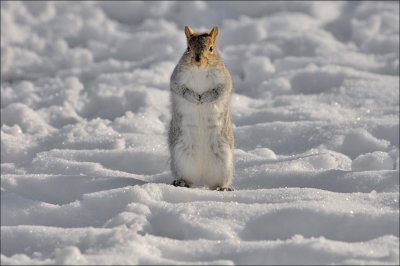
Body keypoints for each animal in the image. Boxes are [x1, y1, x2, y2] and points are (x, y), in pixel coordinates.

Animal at [168, 25, 234, 191]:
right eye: (188, 48)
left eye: (211, 48)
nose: (198, 60)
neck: (200, 71)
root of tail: (202, 177)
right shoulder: (176, 79)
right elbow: (181, 90)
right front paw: (194, 98)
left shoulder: (224, 80)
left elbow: (218, 91)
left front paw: (204, 98)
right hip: (181, 157)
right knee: (187, 177)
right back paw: (182, 182)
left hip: (224, 160)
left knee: (218, 182)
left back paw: (222, 188)